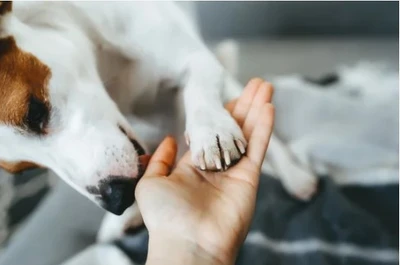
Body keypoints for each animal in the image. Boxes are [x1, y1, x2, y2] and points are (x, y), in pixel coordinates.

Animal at [0, 1, 318, 262]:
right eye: (25, 169)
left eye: (35, 112)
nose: (117, 201)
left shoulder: (194, 60)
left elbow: (199, 93)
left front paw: (211, 132)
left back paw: (296, 176)